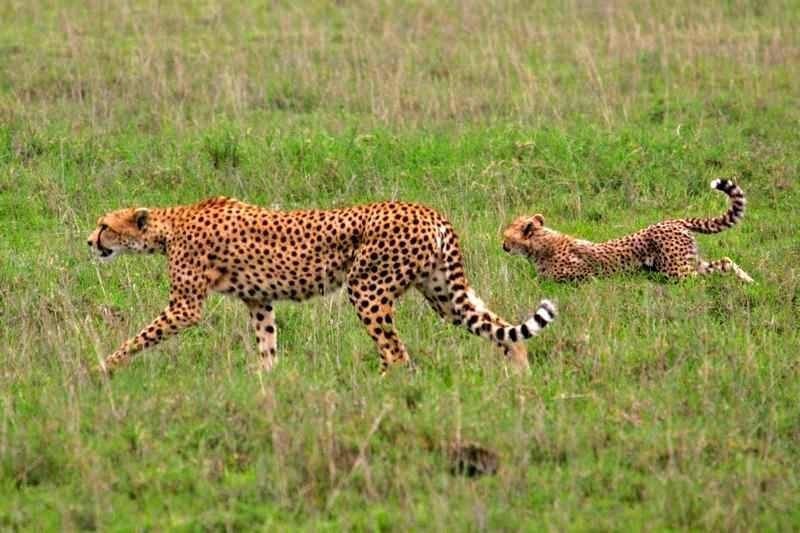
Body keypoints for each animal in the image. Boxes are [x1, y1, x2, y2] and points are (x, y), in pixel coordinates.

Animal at [89, 197, 556, 376]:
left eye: (104, 225)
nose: (89, 241)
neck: (170, 225)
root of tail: (428, 211)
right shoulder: (259, 300)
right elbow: (267, 342)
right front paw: (268, 381)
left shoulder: (185, 307)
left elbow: (139, 337)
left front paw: (103, 367)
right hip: (441, 292)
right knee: (496, 324)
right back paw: (519, 374)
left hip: (366, 287)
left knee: (396, 352)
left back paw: (376, 387)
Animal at [504, 180, 752, 282]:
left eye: (506, 236)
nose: (503, 245)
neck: (541, 244)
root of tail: (673, 221)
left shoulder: (584, 274)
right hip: (689, 262)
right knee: (725, 262)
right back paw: (750, 282)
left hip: (677, 270)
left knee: (700, 280)